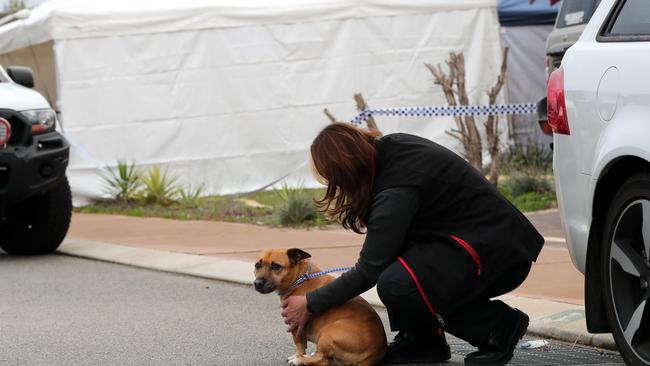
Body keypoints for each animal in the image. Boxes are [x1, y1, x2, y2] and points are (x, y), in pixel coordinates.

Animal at [252, 247, 384, 364]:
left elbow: (299, 345)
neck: (299, 279)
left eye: (276, 266)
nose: (257, 283)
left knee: (324, 360)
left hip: (327, 333)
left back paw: (301, 360)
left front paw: (298, 357)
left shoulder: (297, 325)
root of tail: (375, 353)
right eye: (257, 265)